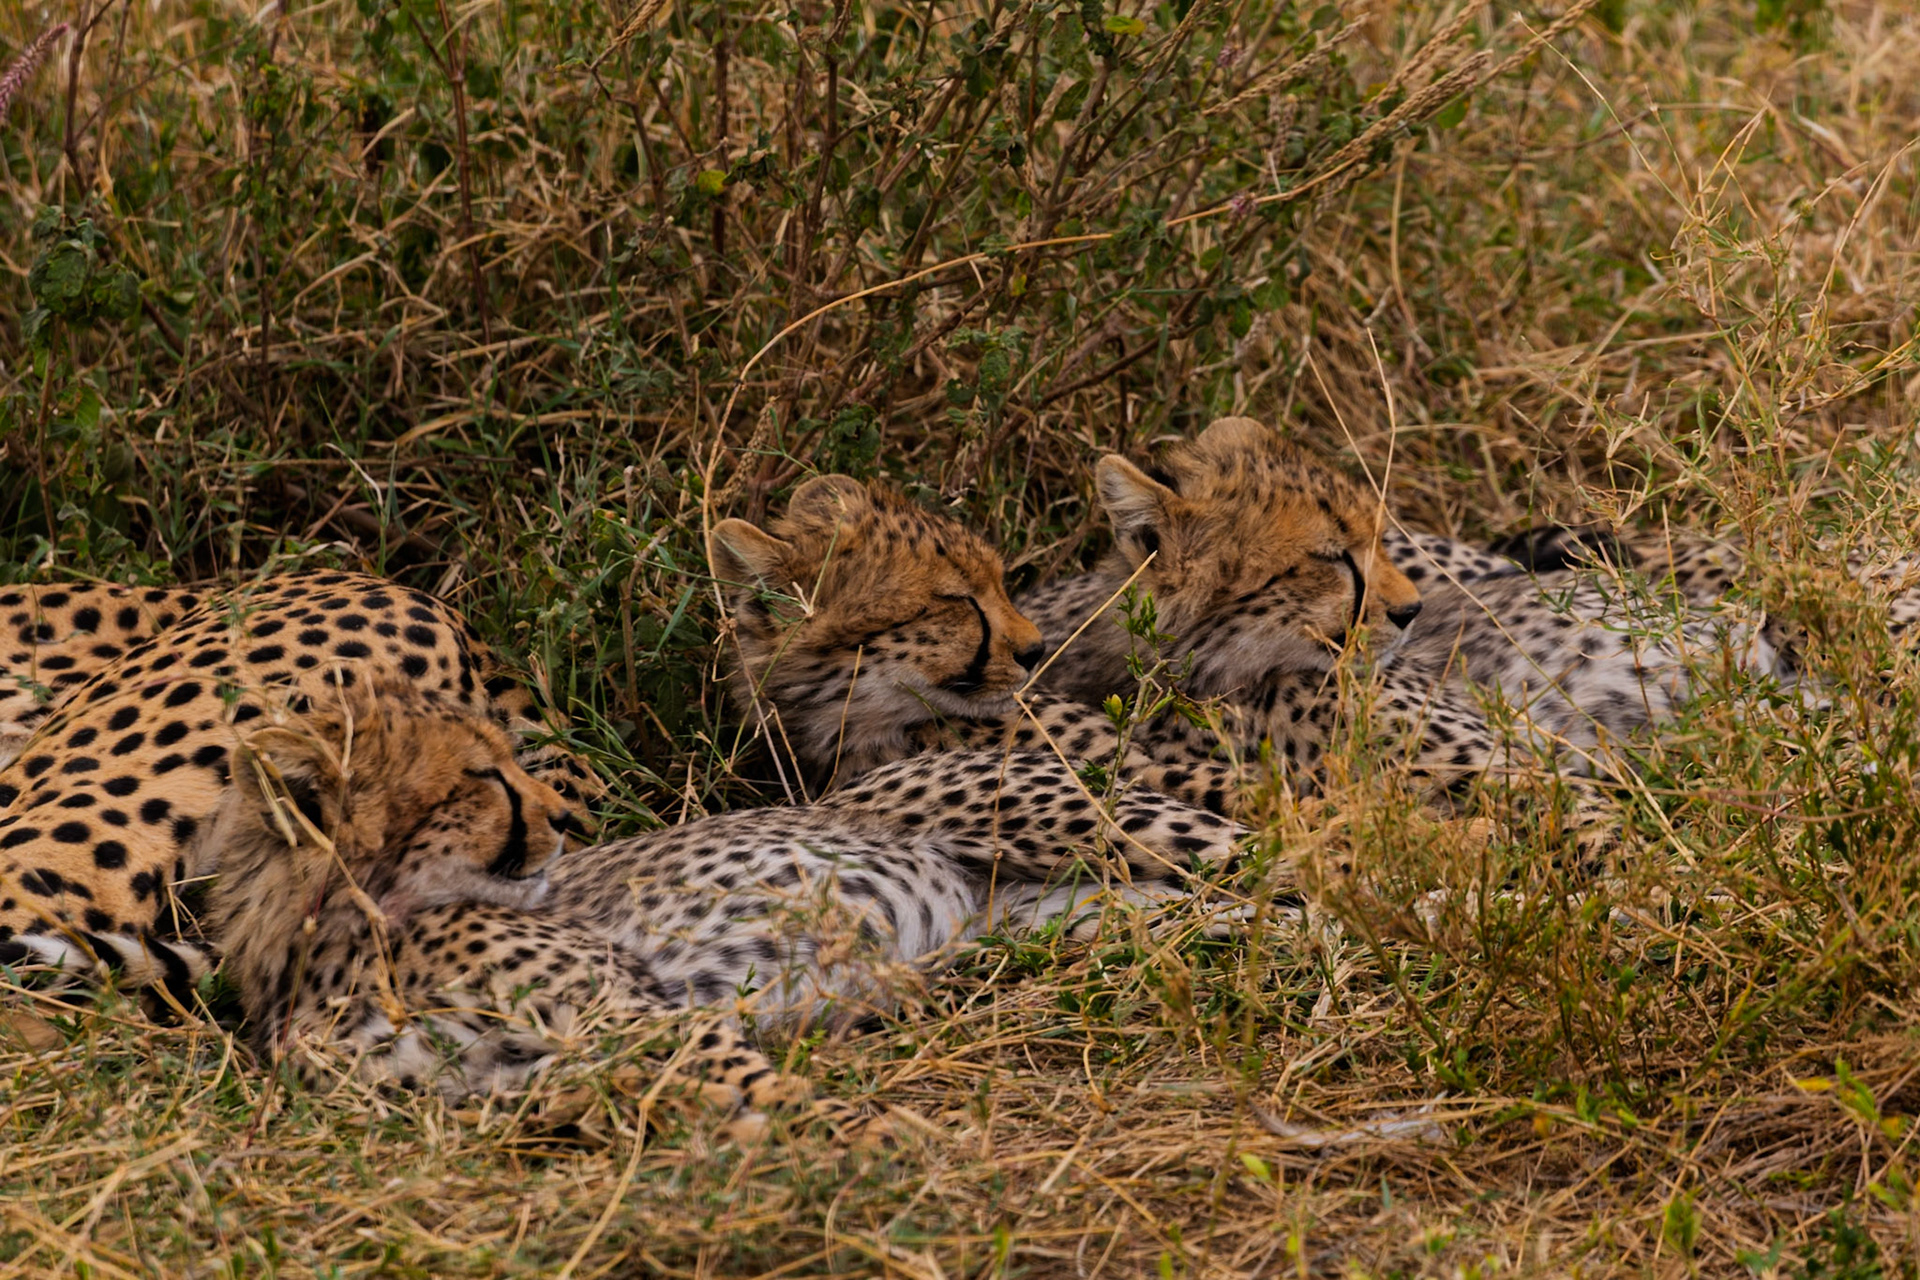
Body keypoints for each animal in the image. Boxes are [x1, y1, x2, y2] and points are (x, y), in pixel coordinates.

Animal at [213, 677, 1241, 1137]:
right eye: (482, 778)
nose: (565, 821)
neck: (352, 937)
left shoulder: (635, 1017)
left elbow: (758, 1083)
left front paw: (867, 1137)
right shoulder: (540, 1081)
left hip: (1087, 821)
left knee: (1264, 857)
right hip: (1067, 918)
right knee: (1195, 915)